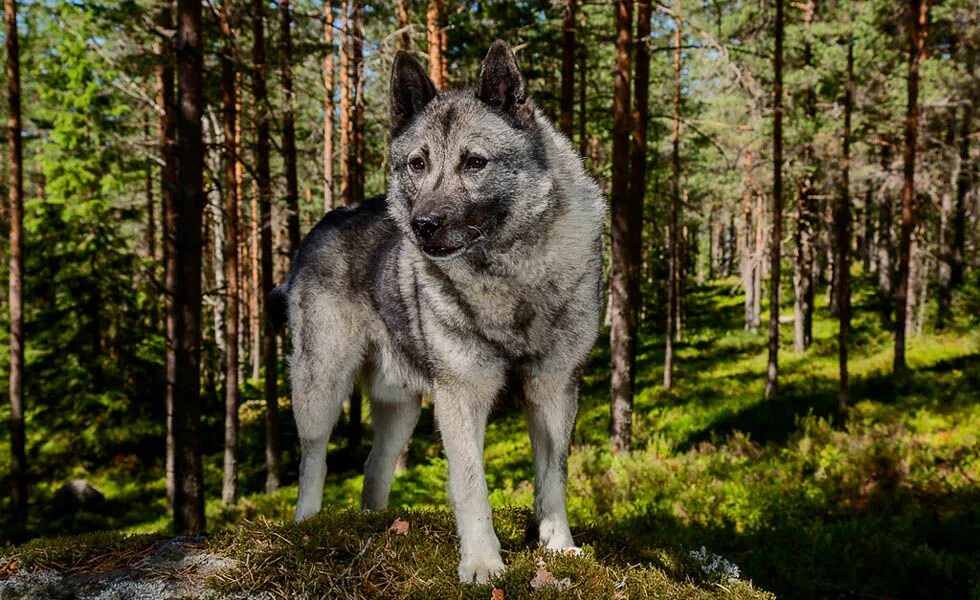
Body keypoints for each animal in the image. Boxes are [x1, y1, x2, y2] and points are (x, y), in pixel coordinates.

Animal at [268, 39, 604, 584]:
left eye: (475, 162)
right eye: (418, 164)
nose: (422, 224)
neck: (507, 272)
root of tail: (319, 228)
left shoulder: (554, 388)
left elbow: (553, 477)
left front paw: (558, 547)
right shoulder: (461, 396)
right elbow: (470, 484)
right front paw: (483, 562)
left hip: (401, 406)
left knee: (374, 465)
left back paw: (378, 523)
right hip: (321, 386)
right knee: (313, 458)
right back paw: (308, 524)